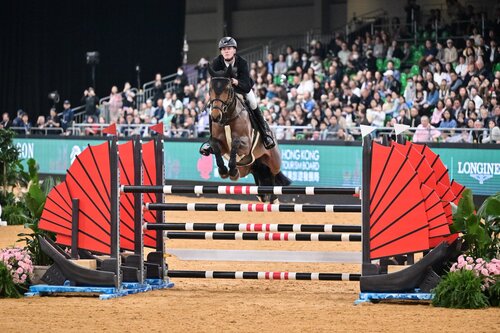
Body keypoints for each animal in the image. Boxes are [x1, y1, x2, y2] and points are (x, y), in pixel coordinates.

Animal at [206, 63, 290, 201]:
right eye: (210, 89)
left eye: (227, 89)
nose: (215, 116)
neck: (227, 117)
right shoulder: (221, 145)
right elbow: (216, 147)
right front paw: (223, 171)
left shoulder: (246, 145)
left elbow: (235, 143)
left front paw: (232, 172)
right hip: (251, 167)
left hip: (274, 162)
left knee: (273, 177)